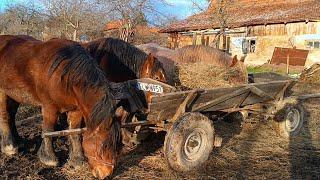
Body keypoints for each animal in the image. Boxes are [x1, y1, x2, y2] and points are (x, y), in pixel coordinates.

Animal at [0, 34, 121, 179]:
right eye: (104, 145)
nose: (106, 174)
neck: (64, 74)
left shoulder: (76, 110)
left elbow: (75, 133)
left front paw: (77, 161)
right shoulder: (49, 108)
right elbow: (48, 130)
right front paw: (49, 159)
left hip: (14, 94)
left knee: (11, 116)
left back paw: (18, 142)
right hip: (2, 92)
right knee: (5, 115)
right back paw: (10, 147)